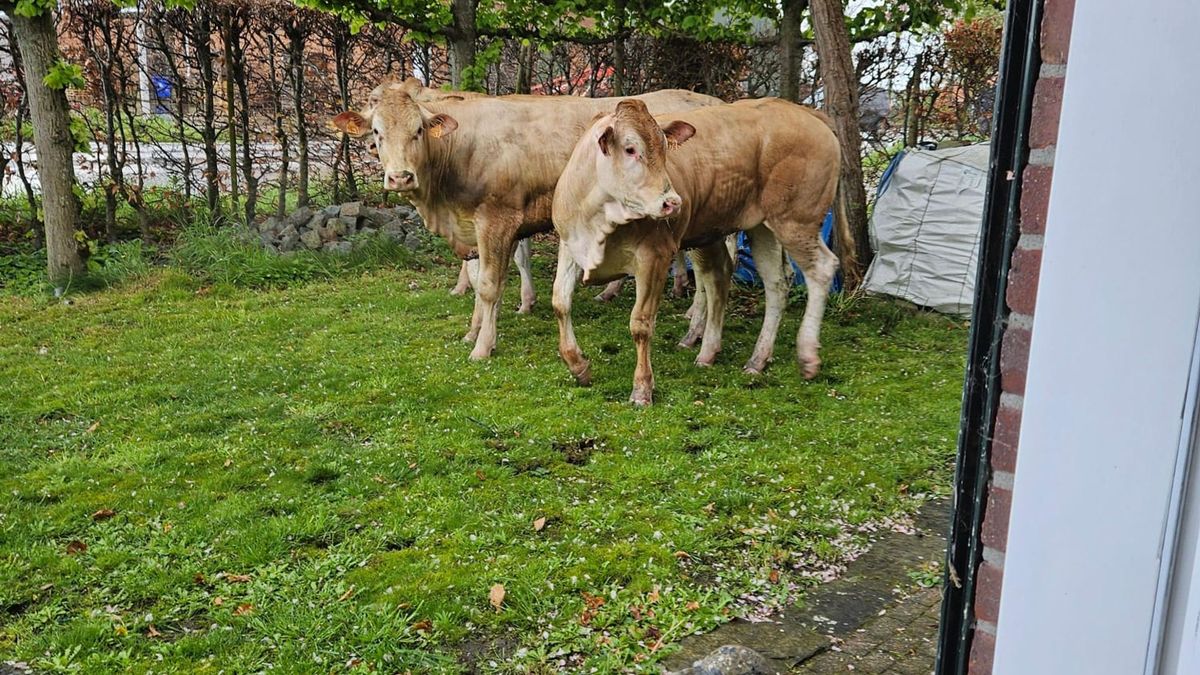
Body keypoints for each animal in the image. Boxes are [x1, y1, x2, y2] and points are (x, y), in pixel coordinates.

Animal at [331, 85, 725, 361]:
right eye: (377, 133)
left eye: (418, 131)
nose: (400, 177)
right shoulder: (475, 228)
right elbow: (478, 278)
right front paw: (474, 330)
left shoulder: (497, 220)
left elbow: (490, 285)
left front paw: (483, 346)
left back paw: (696, 327)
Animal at [551, 98, 849, 405]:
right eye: (630, 148)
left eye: (665, 149)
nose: (672, 202)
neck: (599, 216)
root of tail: (804, 111)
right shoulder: (570, 245)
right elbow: (560, 303)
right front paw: (578, 365)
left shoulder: (654, 256)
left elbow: (641, 323)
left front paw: (642, 388)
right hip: (761, 228)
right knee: (773, 283)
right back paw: (753, 358)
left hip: (795, 221)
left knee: (820, 269)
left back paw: (807, 355)